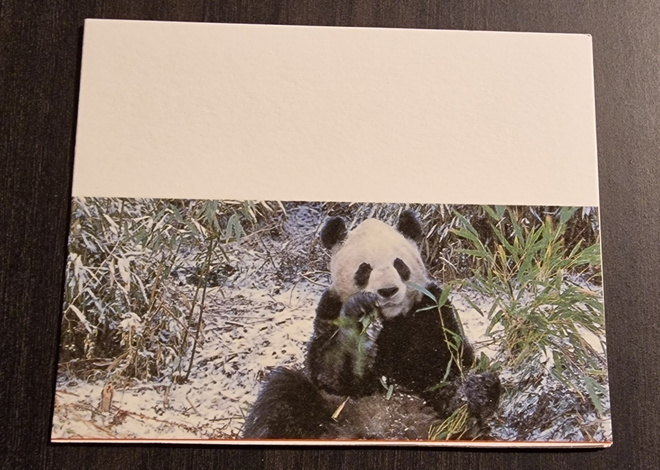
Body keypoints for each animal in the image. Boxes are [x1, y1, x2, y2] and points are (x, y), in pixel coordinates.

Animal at [242, 210, 501, 440]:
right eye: (364, 269)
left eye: (400, 265)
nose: (388, 290)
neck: (391, 320)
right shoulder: (331, 309)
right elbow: (327, 374)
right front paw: (357, 335)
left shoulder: (433, 310)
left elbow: (449, 366)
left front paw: (473, 390)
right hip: (333, 411)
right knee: (281, 394)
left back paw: (480, 395)